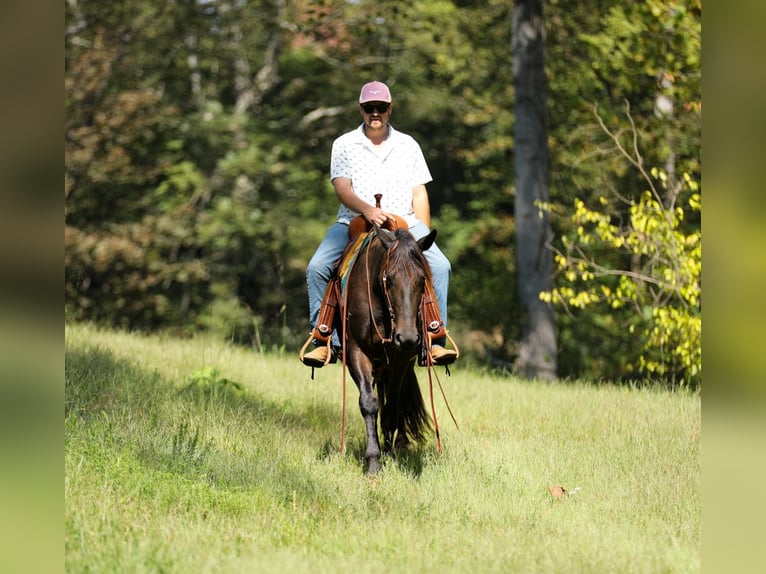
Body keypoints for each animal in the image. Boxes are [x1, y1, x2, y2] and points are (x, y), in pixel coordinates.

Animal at [341, 223, 438, 475]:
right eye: (389, 279)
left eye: (422, 279)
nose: (408, 338)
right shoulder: (357, 351)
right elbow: (369, 403)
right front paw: (373, 461)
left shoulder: (401, 359)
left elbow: (392, 409)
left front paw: (387, 454)